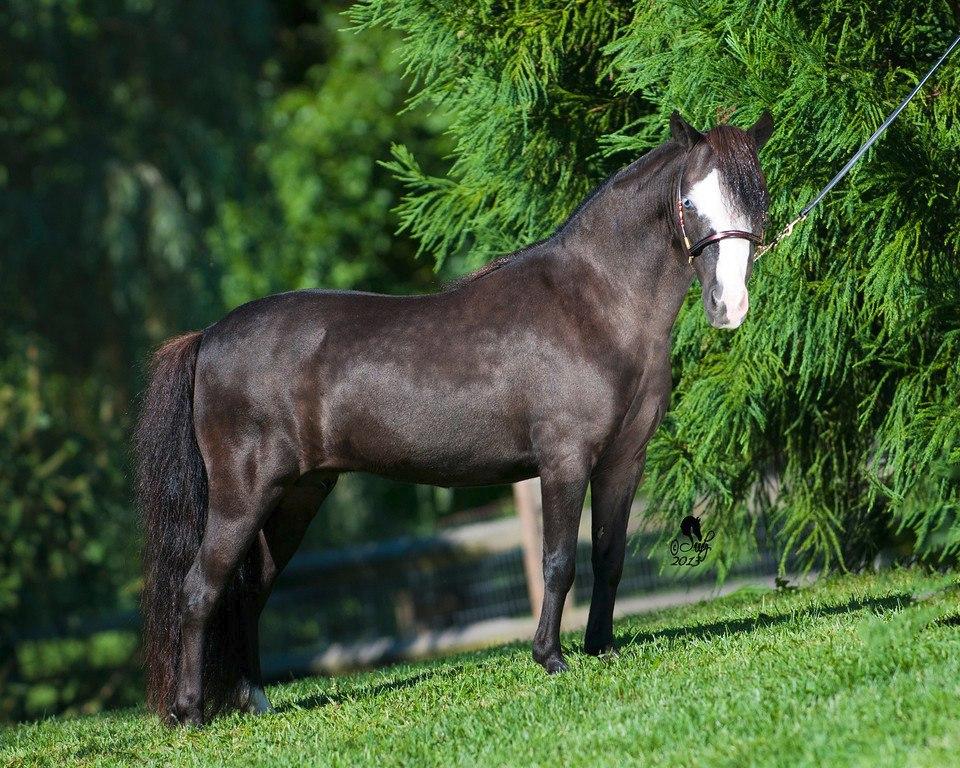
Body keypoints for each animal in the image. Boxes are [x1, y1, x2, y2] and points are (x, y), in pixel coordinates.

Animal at [137, 111, 772, 724]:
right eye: (689, 201)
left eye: (757, 196)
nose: (729, 306)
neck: (598, 304)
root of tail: (208, 338)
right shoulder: (564, 461)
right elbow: (559, 560)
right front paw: (551, 658)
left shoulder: (623, 460)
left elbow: (610, 555)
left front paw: (602, 647)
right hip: (244, 496)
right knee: (201, 589)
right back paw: (189, 713)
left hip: (296, 496)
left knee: (249, 593)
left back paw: (255, 700)